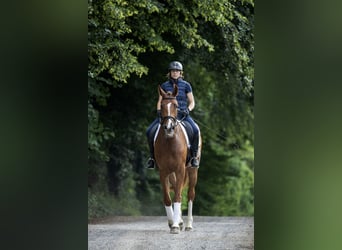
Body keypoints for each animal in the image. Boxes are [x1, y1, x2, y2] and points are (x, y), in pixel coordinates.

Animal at [154, 84, 200, 234]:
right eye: (162, 105)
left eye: (175, 105)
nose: (168, 127)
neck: (170, 141)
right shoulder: (163, 171)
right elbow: (168, 198)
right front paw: (172, 222)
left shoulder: (180, 169)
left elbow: (178, 196)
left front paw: (174, 225)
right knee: (175, 189)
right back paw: (179, 221)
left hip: (192, 170)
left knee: (190, 194)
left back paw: (188, 225)